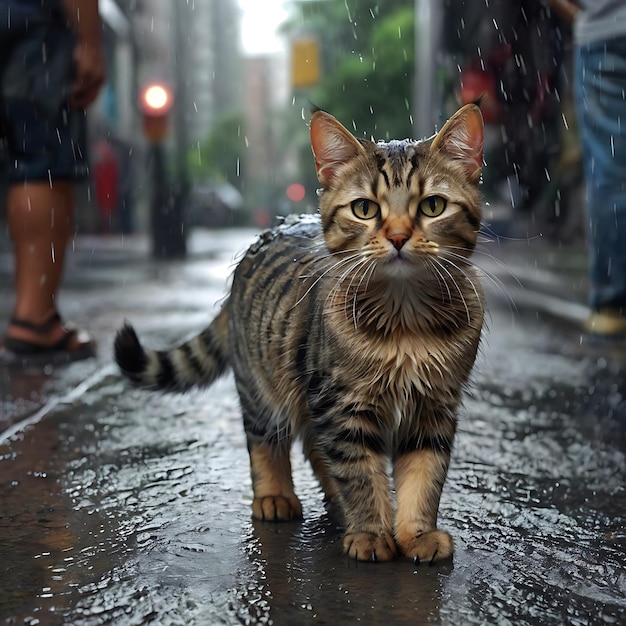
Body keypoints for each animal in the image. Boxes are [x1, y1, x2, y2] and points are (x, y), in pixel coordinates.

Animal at [116, 102, 482, 560]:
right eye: (365, 209)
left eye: (433, 206)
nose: (398, 237)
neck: (405, 321)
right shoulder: (341, 405)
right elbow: (360, 474)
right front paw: (370, 532)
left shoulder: (434, 406)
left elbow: (424, 477)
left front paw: (416, 534)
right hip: (263, 388)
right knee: (267, 442)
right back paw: (276, 497)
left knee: (314, 448)